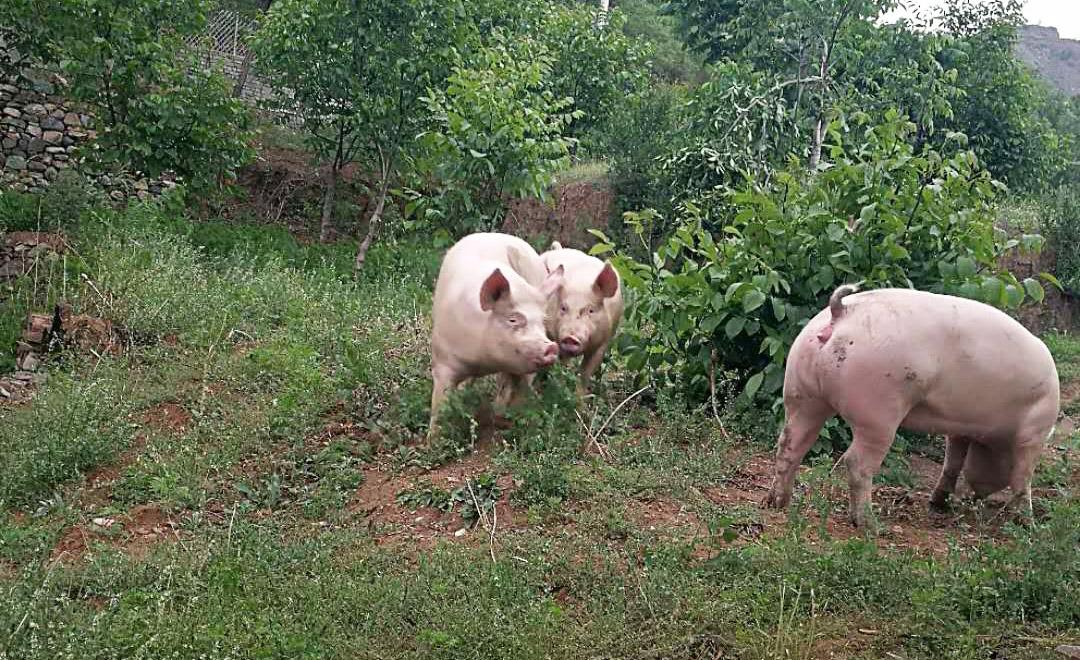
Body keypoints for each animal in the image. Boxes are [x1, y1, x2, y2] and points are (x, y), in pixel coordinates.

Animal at [429, 232, 565, 438]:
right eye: (513, 319)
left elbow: (518, 390)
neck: (484, 362)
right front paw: (433, 440)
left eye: (542, 321)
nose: (550, 346)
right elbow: (439, 405)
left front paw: (508, 421)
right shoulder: (443, 360)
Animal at [540, 243, 626, 397]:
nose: (570, 337)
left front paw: (578, 400)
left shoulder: (603, 342)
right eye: (563, 308)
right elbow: (561, 367)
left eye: (590, 310)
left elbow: (585, 374)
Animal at [764, 283, 1058, 527]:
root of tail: (841, 311)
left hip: (802, 393)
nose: (978, 496)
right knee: (856, 462)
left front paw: (938, 504)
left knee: (789, 444)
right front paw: (1029, 525)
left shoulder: (959, 429)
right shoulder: (1034, 432)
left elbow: (952, 462)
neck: (989, 438)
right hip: (877, 411)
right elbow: (1023, 477)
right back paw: (870, 525)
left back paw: (777, 503)